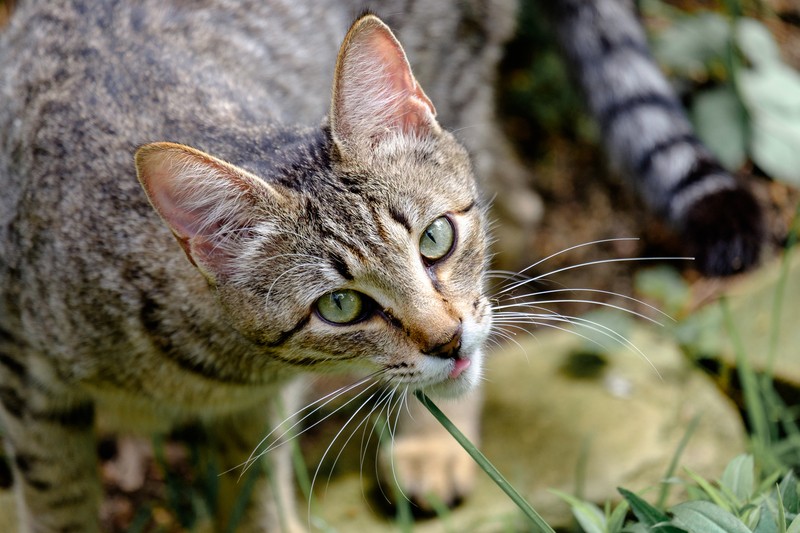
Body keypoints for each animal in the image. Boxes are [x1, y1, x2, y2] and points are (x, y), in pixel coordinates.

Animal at [0, 1, 764, 532]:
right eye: (340, 305)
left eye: (436, 239)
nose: (449, 341)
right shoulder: (28, 380)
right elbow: (60, 497)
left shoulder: (256, 411)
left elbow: (256, 498)